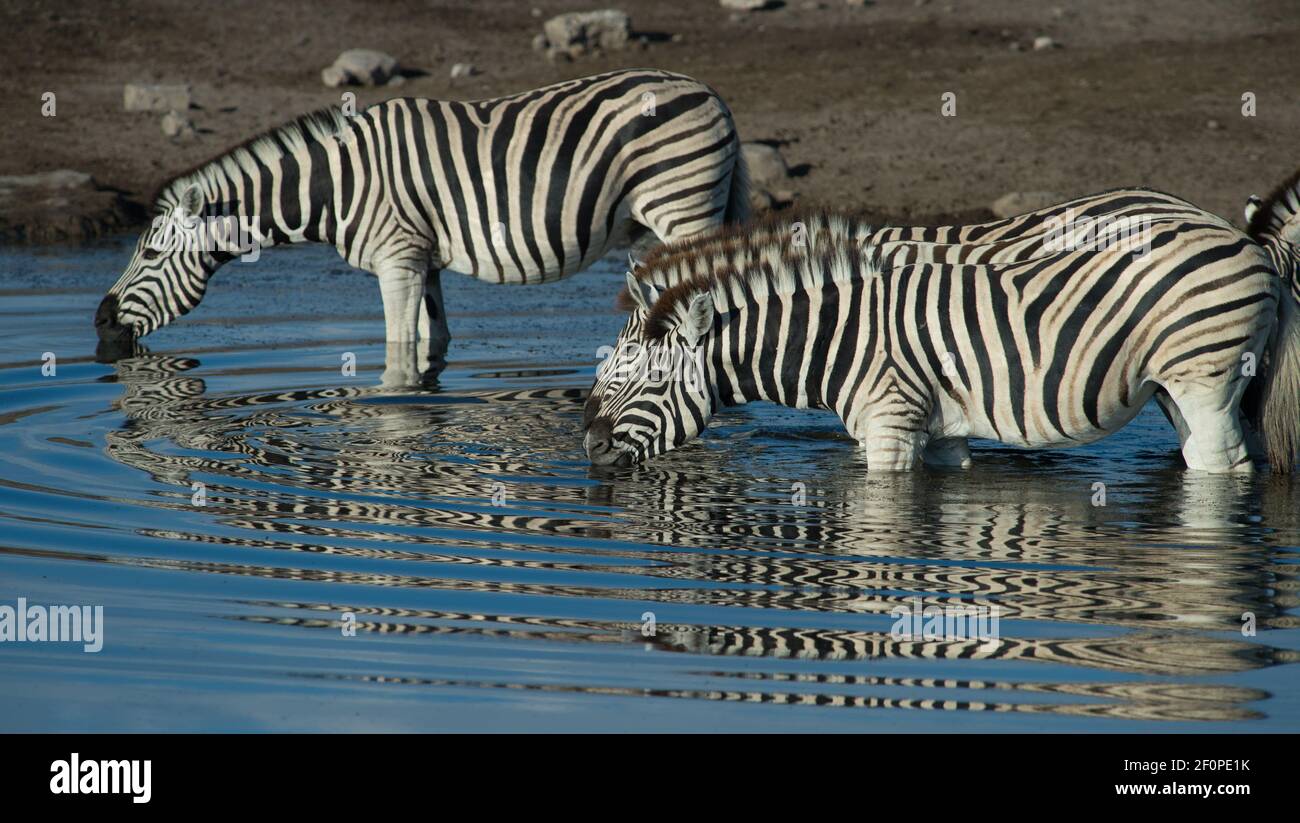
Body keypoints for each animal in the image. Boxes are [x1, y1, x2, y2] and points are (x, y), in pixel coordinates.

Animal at [94, 70, 754, 379]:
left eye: (149, 255)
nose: (98, 322)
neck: (339, 183)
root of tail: (712, 93)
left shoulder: (396, 262)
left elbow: (396, 354)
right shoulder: (423, 260)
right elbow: (432, 343)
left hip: (683, 209)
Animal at [590, 180, 1300, 475]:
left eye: (645, 379)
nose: (588, 448)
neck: (839, 330)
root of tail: (1247, 242)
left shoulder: (890, 426)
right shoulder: (941, 427)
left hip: (1203, 377)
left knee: (1222, 463)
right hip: (1171, 385)